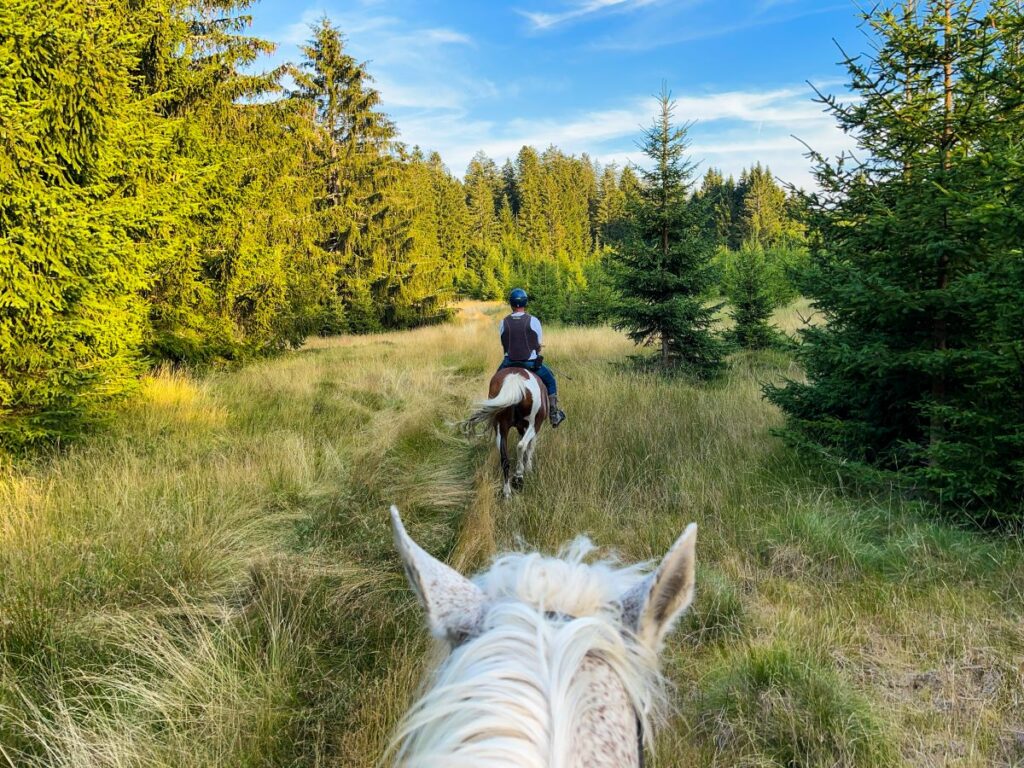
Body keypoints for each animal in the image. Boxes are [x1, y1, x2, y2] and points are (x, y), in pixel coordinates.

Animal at [460, 368, 548, 499]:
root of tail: (514, 379)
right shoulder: (535, 427)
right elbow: (530, 448)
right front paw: (528, 468)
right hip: (532, 424)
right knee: (521, 446)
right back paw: (518, 477)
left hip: (501, 428)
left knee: (505, 460)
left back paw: (507, 493)